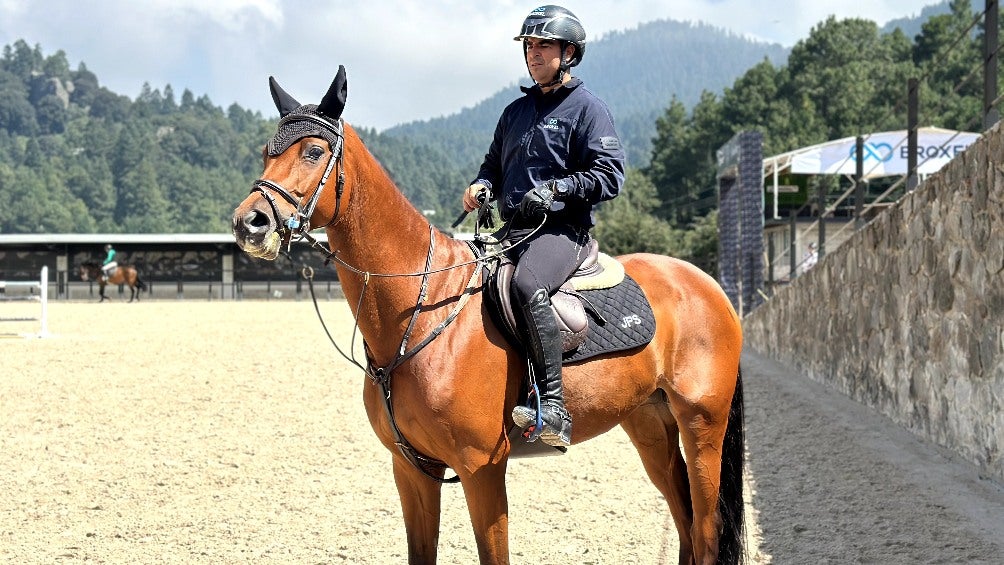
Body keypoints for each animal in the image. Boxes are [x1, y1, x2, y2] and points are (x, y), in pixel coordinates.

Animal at [227, 67, 746, 565]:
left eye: (314, 151)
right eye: (266, 153)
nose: (249, 223)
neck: (423, 310)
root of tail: (707, 285)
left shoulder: (481, 469)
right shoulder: (412, 469)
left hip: (702, 426)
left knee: (704, 529)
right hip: (649, 426)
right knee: (683, 522)